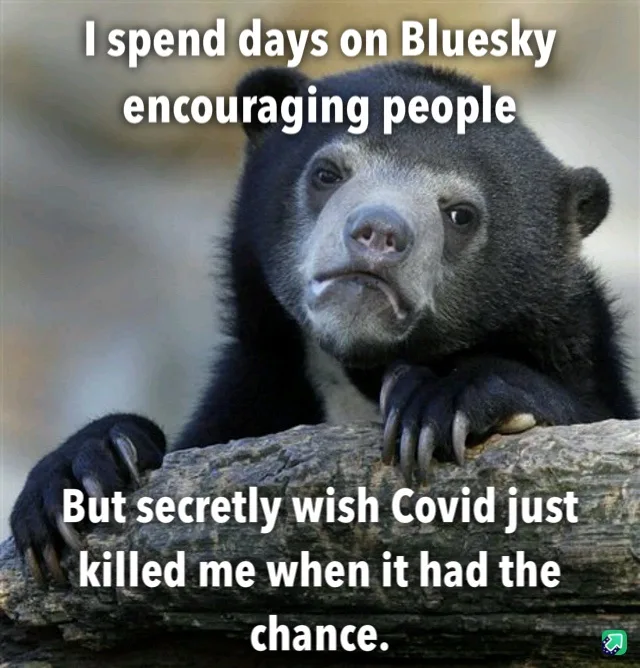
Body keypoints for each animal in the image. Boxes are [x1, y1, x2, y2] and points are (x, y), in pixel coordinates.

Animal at [10, 62, 638, 583]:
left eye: (460, 214)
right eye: (327, 173)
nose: (378, 234)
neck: (357, 372)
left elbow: (588, 409)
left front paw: (438, 400)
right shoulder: (261, 382)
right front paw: (79, 474)